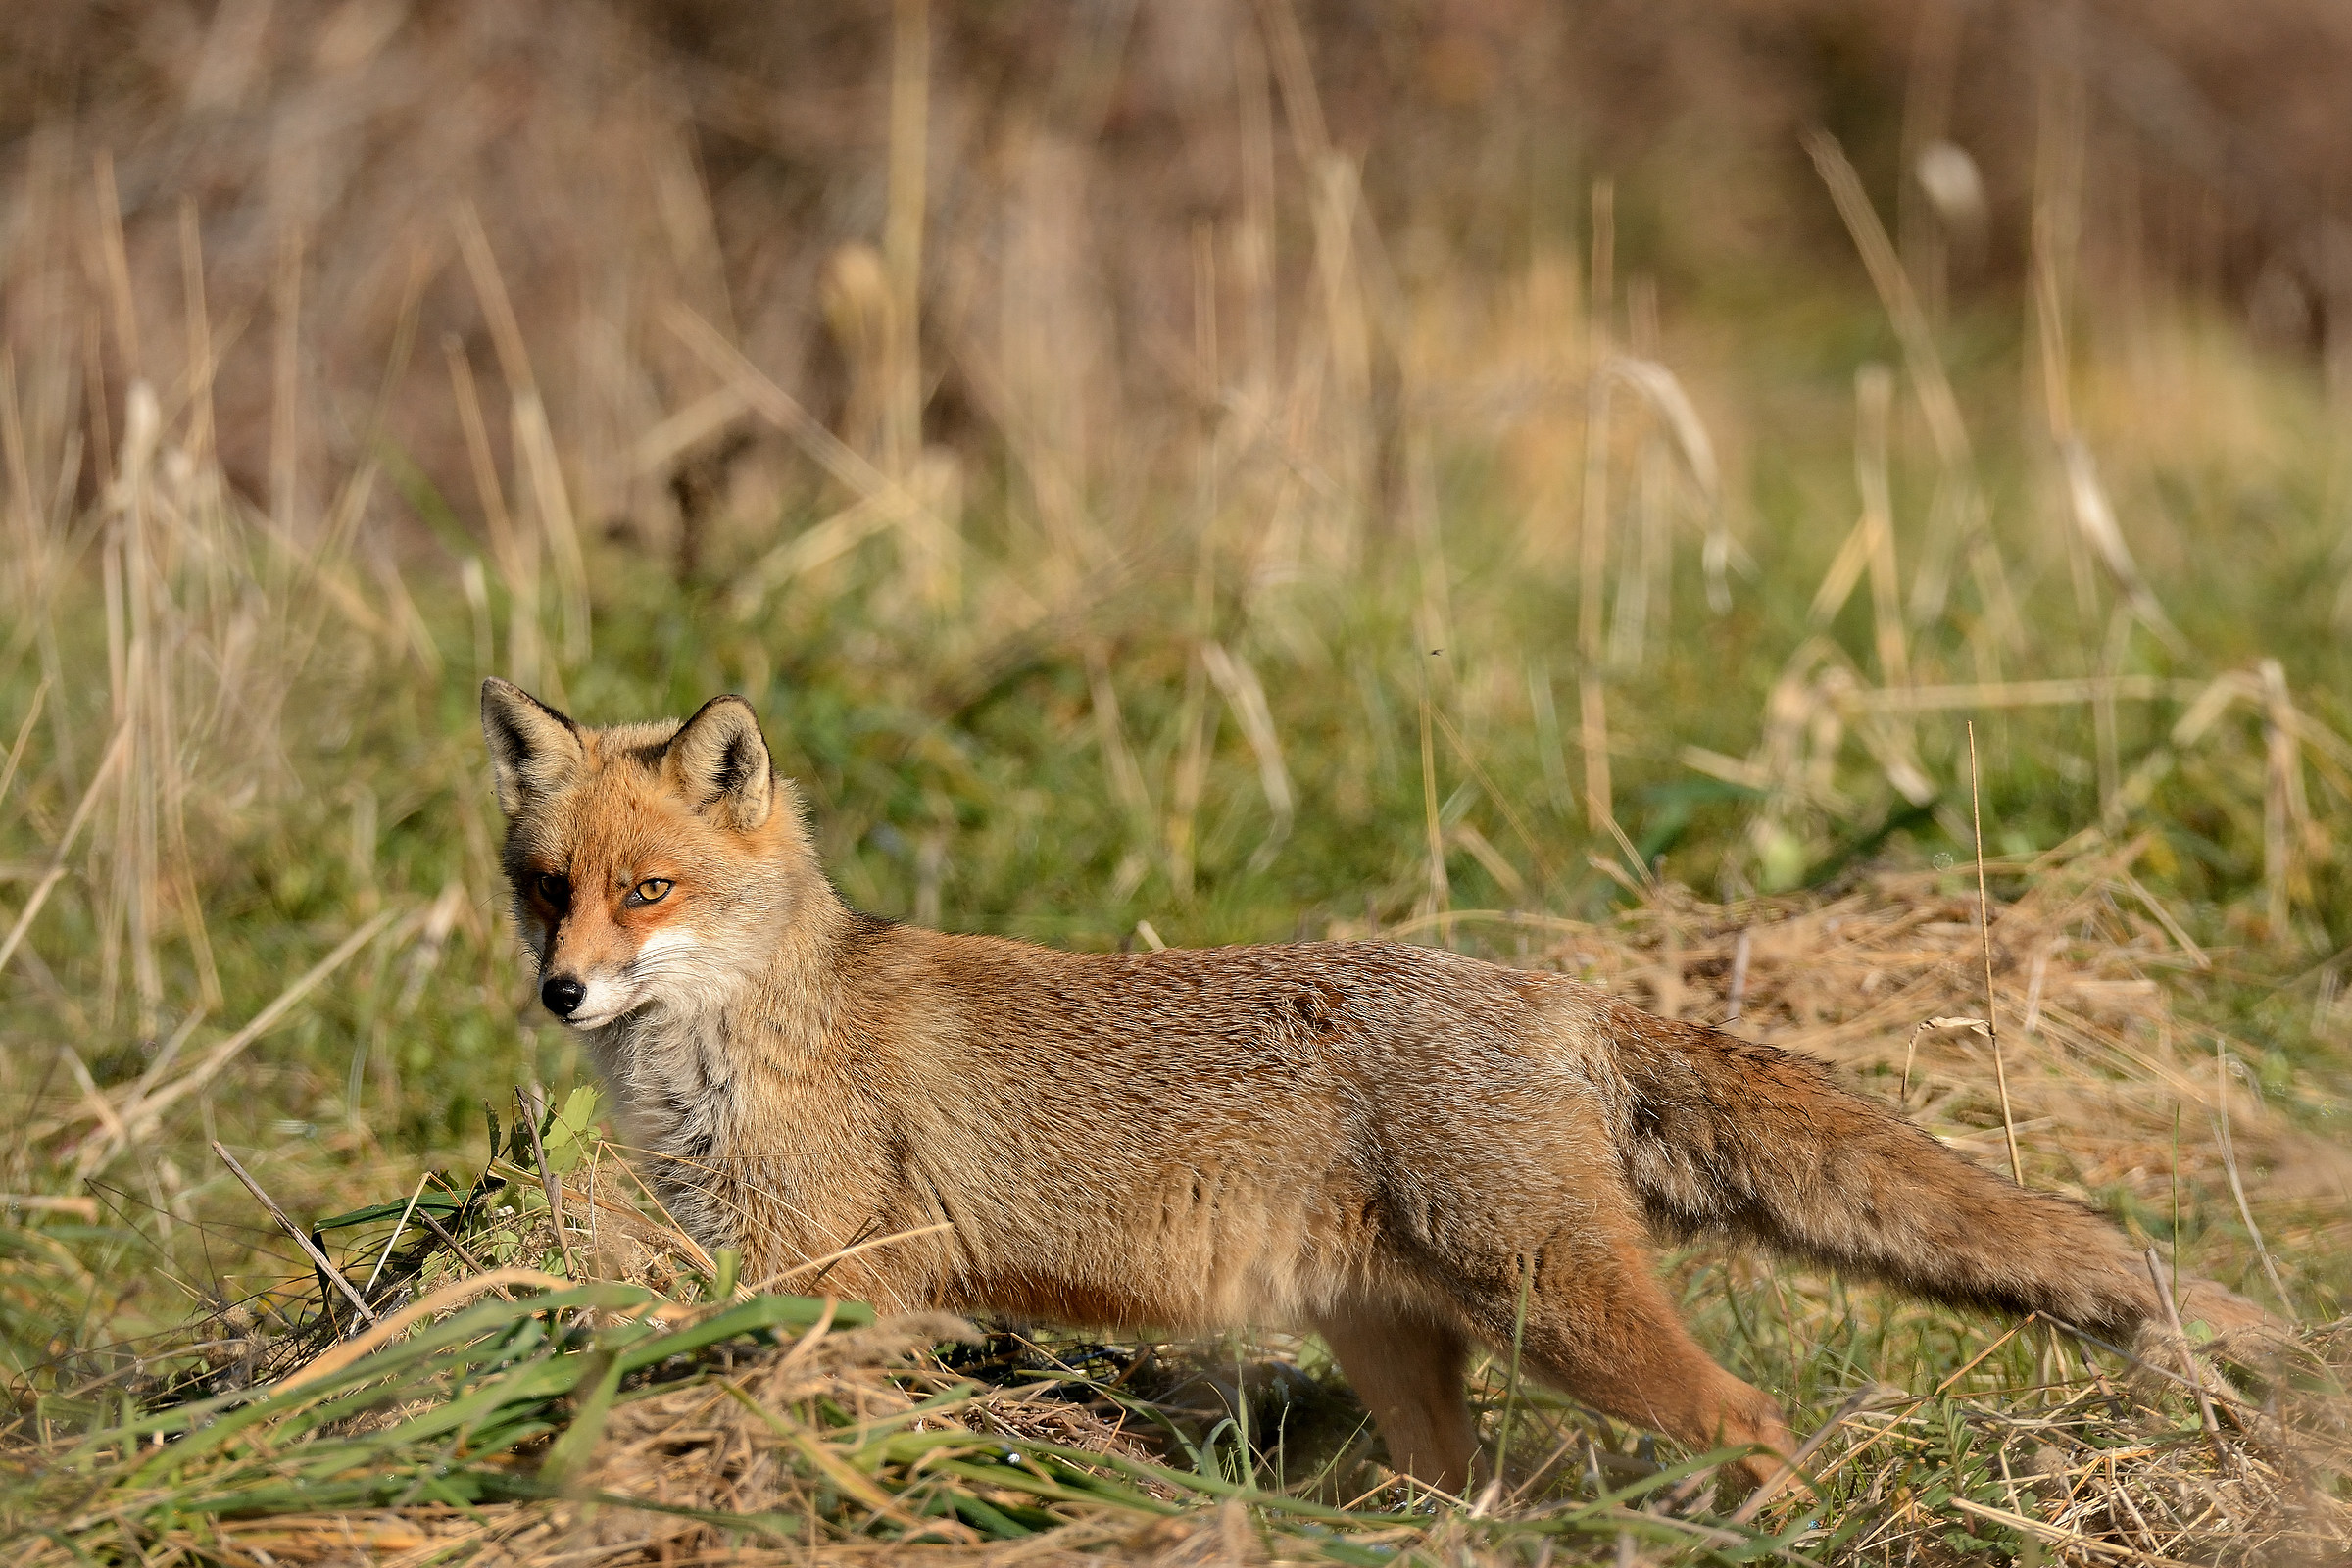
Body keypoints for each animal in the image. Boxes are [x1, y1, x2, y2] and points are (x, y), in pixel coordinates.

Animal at [480, 677, 2275, 1496]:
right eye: (544, 890)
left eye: (648, 892)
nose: (560, 991)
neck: (742, 1046)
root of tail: (1542, 986)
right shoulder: (777, 1274)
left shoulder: (839, 1282)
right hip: (1404, 1352)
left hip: (1563, 1315)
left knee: (1748, 1415)